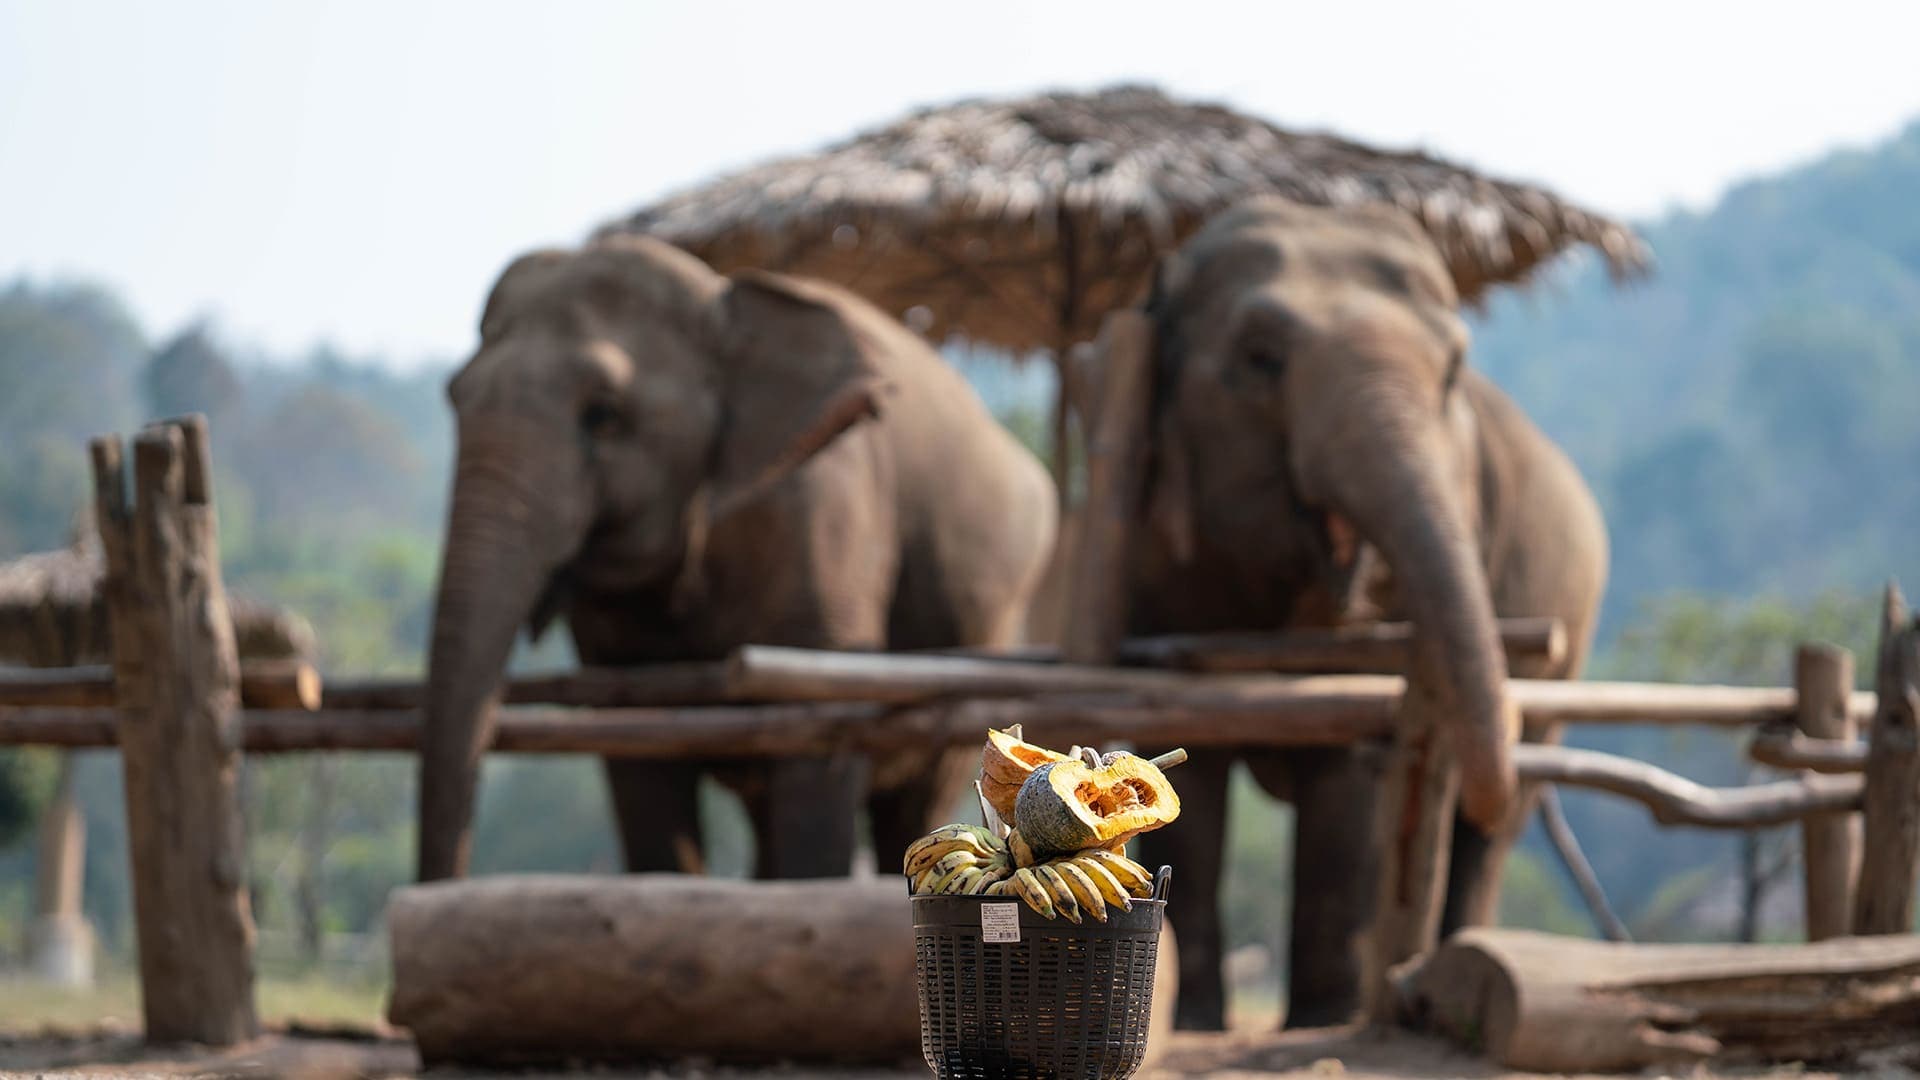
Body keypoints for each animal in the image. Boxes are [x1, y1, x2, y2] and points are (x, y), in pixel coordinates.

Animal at [416, 234, 1057, 883]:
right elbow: (638, 748)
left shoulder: (823, 509)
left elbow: (817, 726)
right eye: (454, 397)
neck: (721, 303)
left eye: (602, 413)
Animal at [1127, 196, 1607, 1029]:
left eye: (1453, 370)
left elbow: (1350, 763)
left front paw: (1324, 1020)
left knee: (1487, 836)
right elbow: (1186, 755)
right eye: (1259, 357)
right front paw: (1194, 1024)